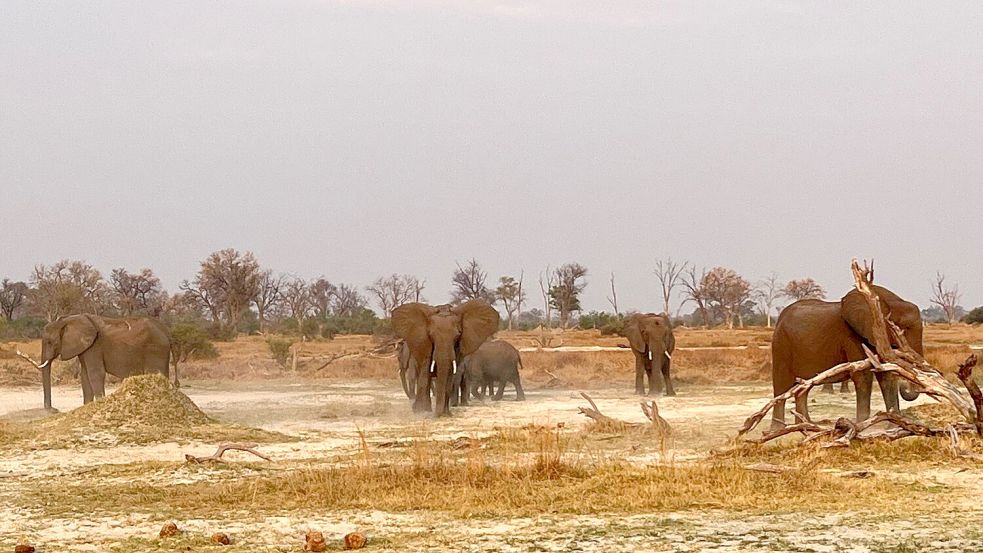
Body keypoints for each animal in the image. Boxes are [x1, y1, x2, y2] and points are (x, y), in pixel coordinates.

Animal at [38, 312, 173, 408]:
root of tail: (166, 331)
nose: (53, 410)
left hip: (155, 350)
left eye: (49, 342)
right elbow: (85, 376)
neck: (68, 320)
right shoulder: (86, 348)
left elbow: (95, 374)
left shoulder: (95, 346)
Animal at [772, 282, 928, 430]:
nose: (904, 385)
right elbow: (863, 375)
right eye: (903, 329)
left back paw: (806, 426)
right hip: (781, 344)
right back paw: (779, 429)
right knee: (782, 384)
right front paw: (861, 426)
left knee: (803, 387)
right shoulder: (852, 337)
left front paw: (894, 426)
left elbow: (886, 375)